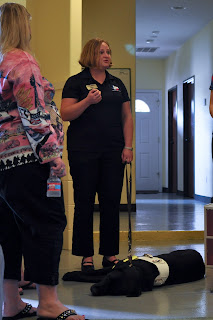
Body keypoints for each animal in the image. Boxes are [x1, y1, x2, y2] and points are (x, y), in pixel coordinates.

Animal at [62, 250, 205, 298]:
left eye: (114, 292)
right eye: (108, 279)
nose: (94, 291)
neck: (140, 271)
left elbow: (88, 276)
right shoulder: (110, 269)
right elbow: (91, 272)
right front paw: (70, 274)